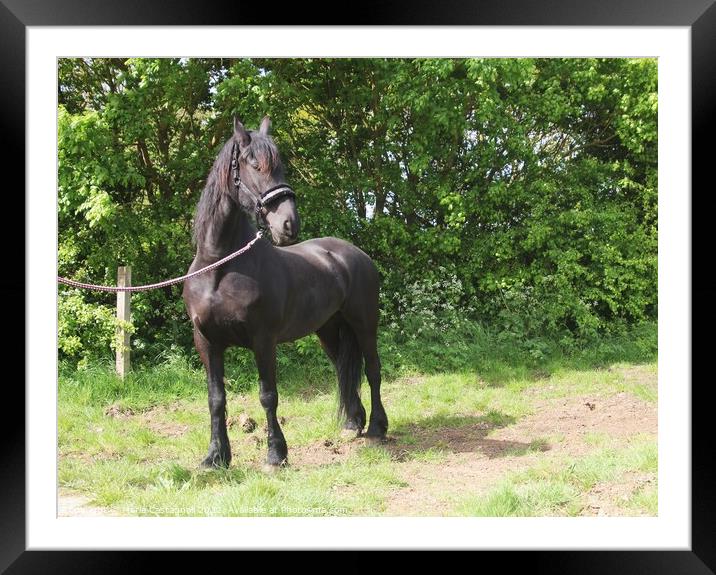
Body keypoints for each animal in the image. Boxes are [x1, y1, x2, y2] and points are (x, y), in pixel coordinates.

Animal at [182, 117, 388, 468]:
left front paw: (276, 453)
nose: (289, 223)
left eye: (281, 167)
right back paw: (352, 423)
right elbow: (216, 398)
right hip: (329, 331)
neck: (218, 267)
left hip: (364, 324)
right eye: (254, 165)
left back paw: (377, 427)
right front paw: (216, 456)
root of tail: (356, 255)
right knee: (344, 370)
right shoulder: (207, 343)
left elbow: (268, 395)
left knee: (373, 370)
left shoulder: (263, 340)